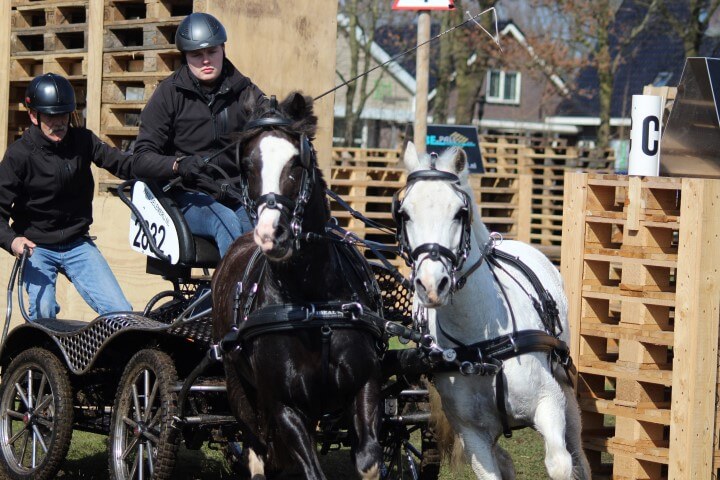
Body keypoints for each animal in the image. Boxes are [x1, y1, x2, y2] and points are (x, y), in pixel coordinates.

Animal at [211, 92, 386, 478]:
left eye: (296, 164)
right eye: (247, 166)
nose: (270, 234)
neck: (313, 303)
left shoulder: (365, 385)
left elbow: (368, 460)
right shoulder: (284, 406)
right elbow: (310, 470)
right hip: (238, 390)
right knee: (256, 449)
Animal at [394, 143, 592, 480]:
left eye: (460, 212)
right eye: (405, 213)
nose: (432, 284)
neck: (482, 347)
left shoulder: (549, 403)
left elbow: (560, 463)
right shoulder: (472, 434)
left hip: (566, 389)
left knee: (577, 451)